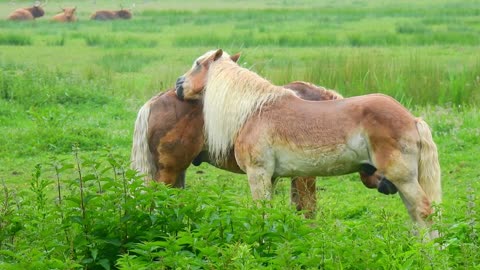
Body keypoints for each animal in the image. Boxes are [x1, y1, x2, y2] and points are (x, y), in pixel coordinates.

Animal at [173, 49, 442, 237]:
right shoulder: (272, 176)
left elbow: (263, 212)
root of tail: (412, 119)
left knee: (424, 212)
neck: (254, 111)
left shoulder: (258, 173)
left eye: (198, 64)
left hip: (402, 177)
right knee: (416, 214)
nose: (178, 85)